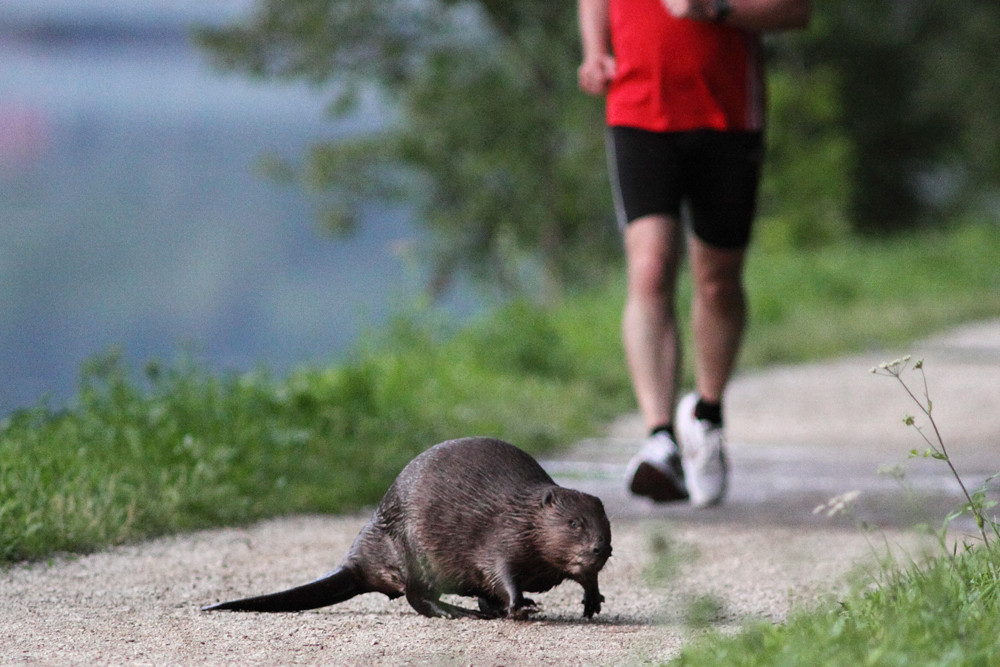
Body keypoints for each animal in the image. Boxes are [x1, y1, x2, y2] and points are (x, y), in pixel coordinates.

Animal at [201, 438, 608, 620]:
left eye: (605, 524)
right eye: (574, 522)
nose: (599, 547)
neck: (522, 513)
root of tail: (356, 563)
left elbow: (584, 578)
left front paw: (592, 601)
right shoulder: (500, 534)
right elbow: (501, 572)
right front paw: (520, 605)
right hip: (410, 549)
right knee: (416, 595)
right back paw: (455, 612)